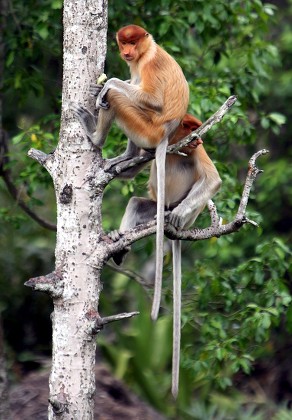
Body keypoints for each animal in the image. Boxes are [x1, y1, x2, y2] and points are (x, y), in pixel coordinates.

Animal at [71, 23, 189, 324]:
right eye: (124, 43)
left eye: (133, 42)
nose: (126, 52)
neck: (147, 51)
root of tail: (165, 135)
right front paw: (98, 84)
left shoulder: (148, 65)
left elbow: (150, 99)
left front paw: (107, 83)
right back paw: (125, 157)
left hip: (147, 128)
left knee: (117, 100)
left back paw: (96, 135)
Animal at [110, 114, 222, 398]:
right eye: (191, 128)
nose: (198, 140)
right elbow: (129, 171)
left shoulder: (198, 153)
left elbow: (213, 180)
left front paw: (179, 214)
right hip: (152, 208)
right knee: (136, 203)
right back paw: (119, 246)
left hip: (189, 212)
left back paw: (175, 217)